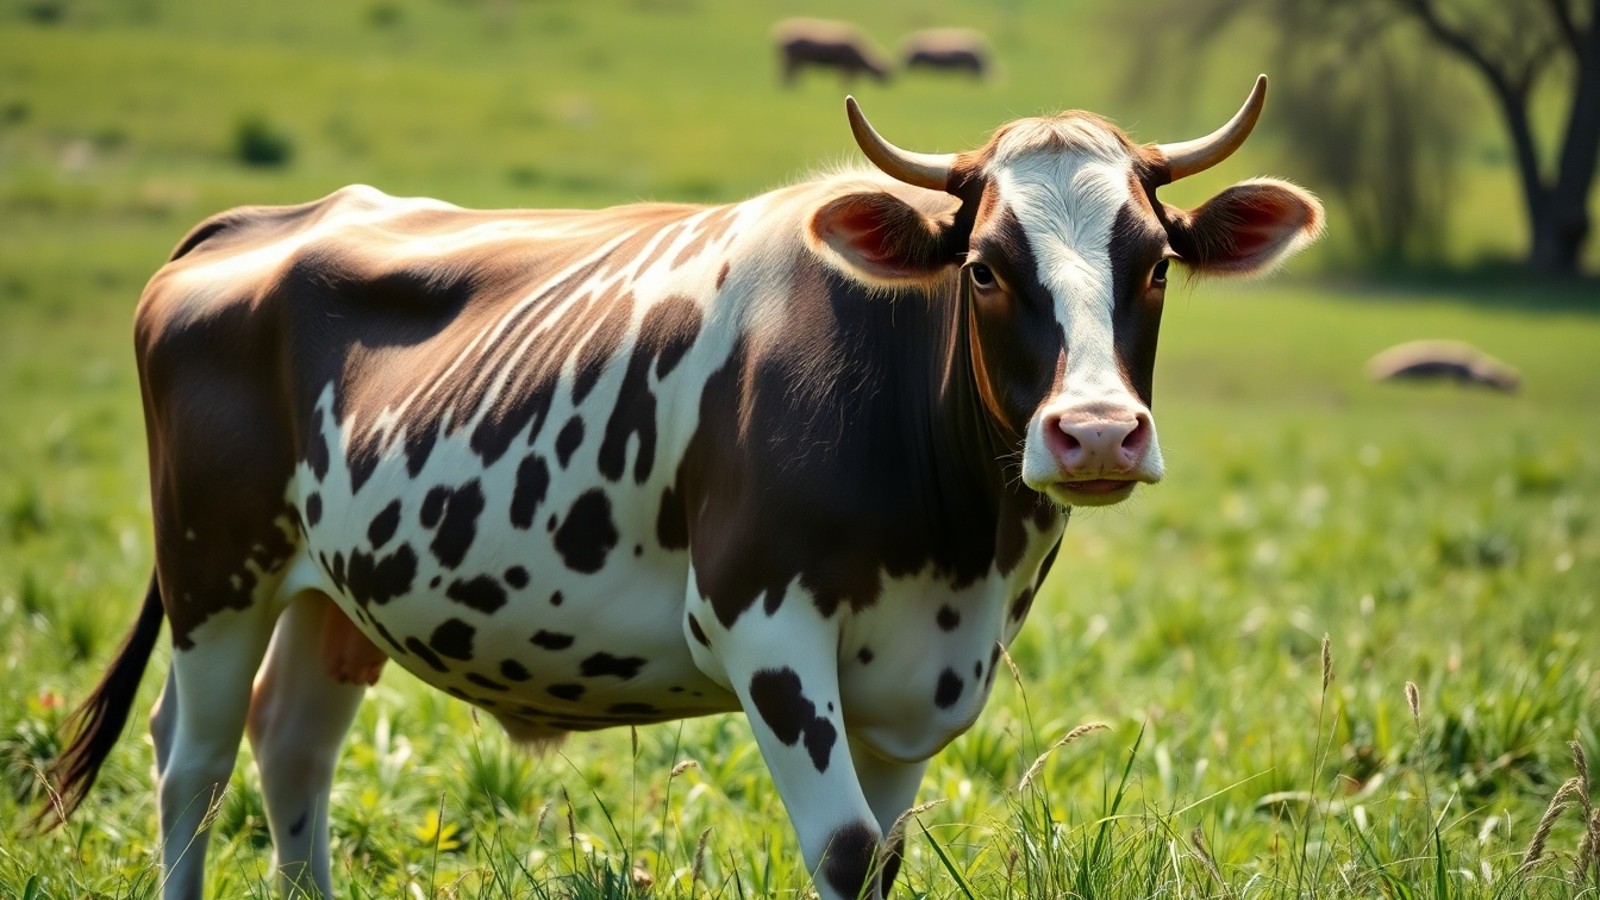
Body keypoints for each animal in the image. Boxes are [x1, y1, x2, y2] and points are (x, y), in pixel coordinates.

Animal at [41, 78, 1322, 899]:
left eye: (1152, 263)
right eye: (984, 267)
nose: (1095, 432)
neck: (957, 542)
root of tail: (272, 219)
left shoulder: (923, 678)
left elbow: (884, 856)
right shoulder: (763, 625)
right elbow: (846, 854)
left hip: (338, 592)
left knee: (291, 749)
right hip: (215, 570)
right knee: (192, 760)